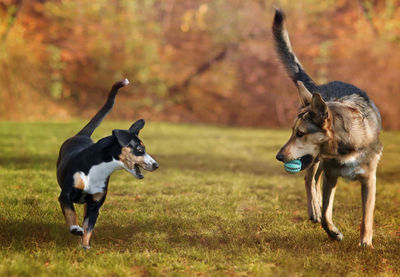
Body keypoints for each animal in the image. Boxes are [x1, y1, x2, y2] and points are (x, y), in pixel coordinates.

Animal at [56, 78, 159, 248]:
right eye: (139, 149)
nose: (156, 165)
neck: (97, 170)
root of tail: (82, 135)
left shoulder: (95, 205)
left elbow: (88, 229)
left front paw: (85, 247)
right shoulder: (66, 194)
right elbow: (71, 213)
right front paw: (75, 229)